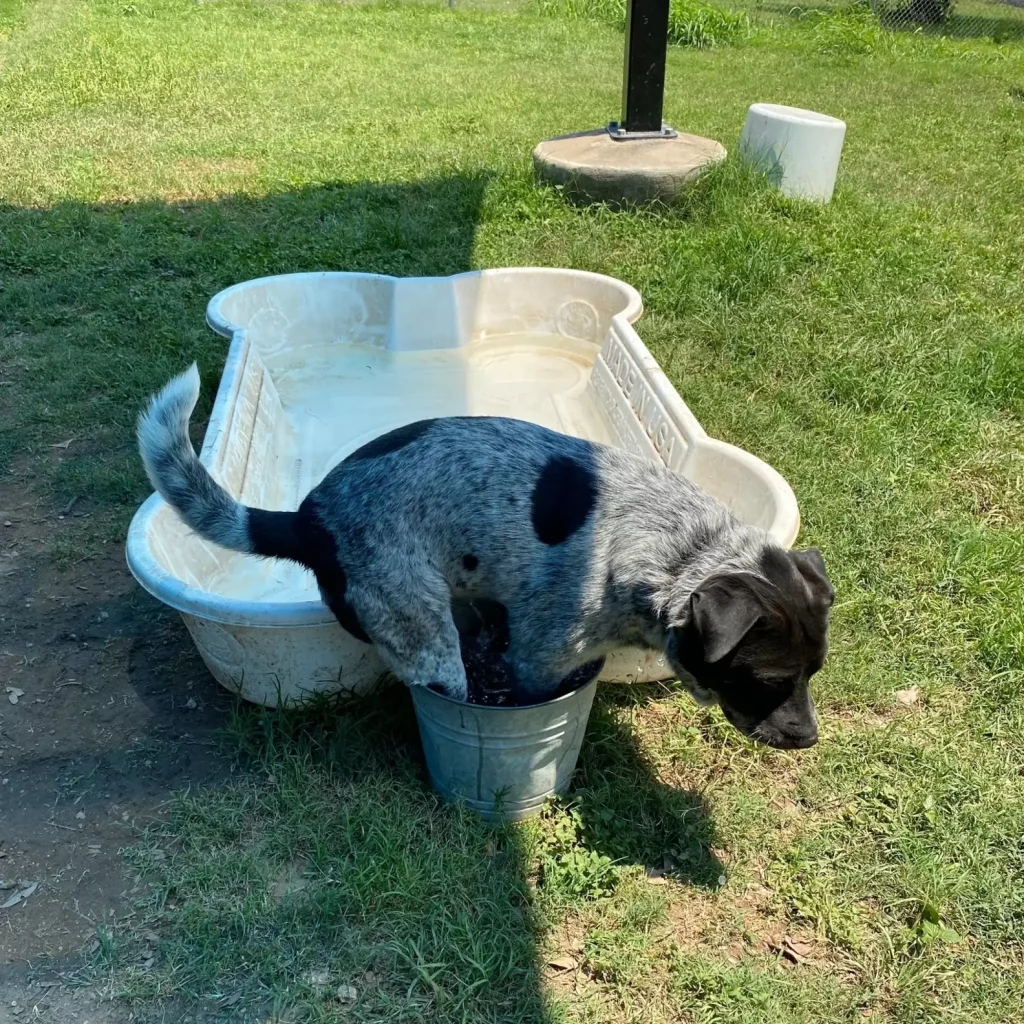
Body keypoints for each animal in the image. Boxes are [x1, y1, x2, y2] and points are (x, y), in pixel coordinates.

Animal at [140, 364, 835, 749]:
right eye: (768, 680)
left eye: (814, 674)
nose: (808, 740)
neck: (678, 551)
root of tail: (309, 519)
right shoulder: (539, 659)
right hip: (429, 642)